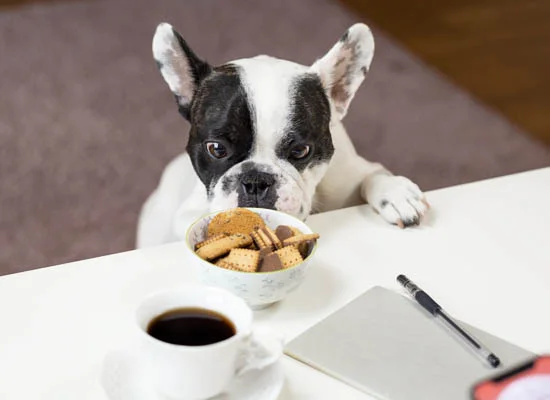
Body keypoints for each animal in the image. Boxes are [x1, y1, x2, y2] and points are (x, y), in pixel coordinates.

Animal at [136, 22, 430, 247]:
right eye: (216, 149)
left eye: (300, 151)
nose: (255, 181)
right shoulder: (188, 213)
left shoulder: (352, 172)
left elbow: (374, 174)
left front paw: (396, 193)